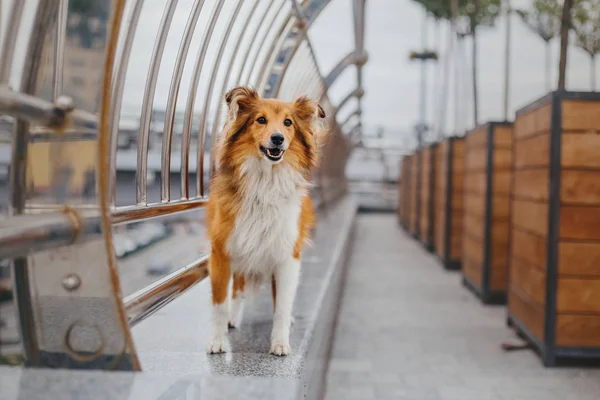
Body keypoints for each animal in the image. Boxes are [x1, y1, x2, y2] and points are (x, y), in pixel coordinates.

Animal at [206, 86, 328, 354]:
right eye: (260, 120)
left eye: (288, 123)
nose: (278, 138)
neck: (265, 181)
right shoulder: (222, 252)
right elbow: (219, 304)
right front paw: (217, 341)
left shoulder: (287, 255)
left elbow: (282, 304)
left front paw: (280, 343)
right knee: (238, 287)